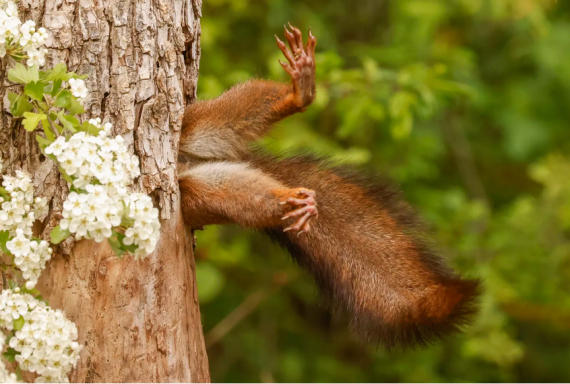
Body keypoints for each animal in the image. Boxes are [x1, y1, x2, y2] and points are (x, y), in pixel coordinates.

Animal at [178, 23, 480, 348]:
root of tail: (187, 162)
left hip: (193, 124)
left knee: (230, 113)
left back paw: (299, 93)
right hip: (197, 194)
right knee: (237, 195)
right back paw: (292, 201)